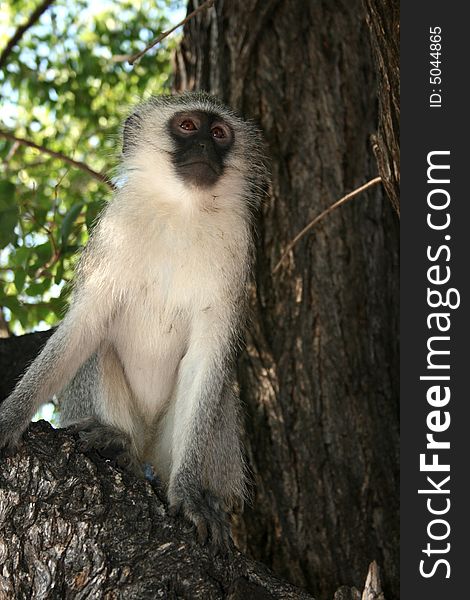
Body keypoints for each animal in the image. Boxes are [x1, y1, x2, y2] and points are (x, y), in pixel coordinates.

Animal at [0, 94, 270, 548]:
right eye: (187, 126)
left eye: (219, 133)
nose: (205, 147)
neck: (183, 211)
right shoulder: (113, 234)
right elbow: (84, 327)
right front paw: (9, 416)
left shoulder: (237, 247)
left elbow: (207, 359)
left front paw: (190, 493)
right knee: (98, 348)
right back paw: (119, 444)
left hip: (166, 448)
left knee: (218, 397)